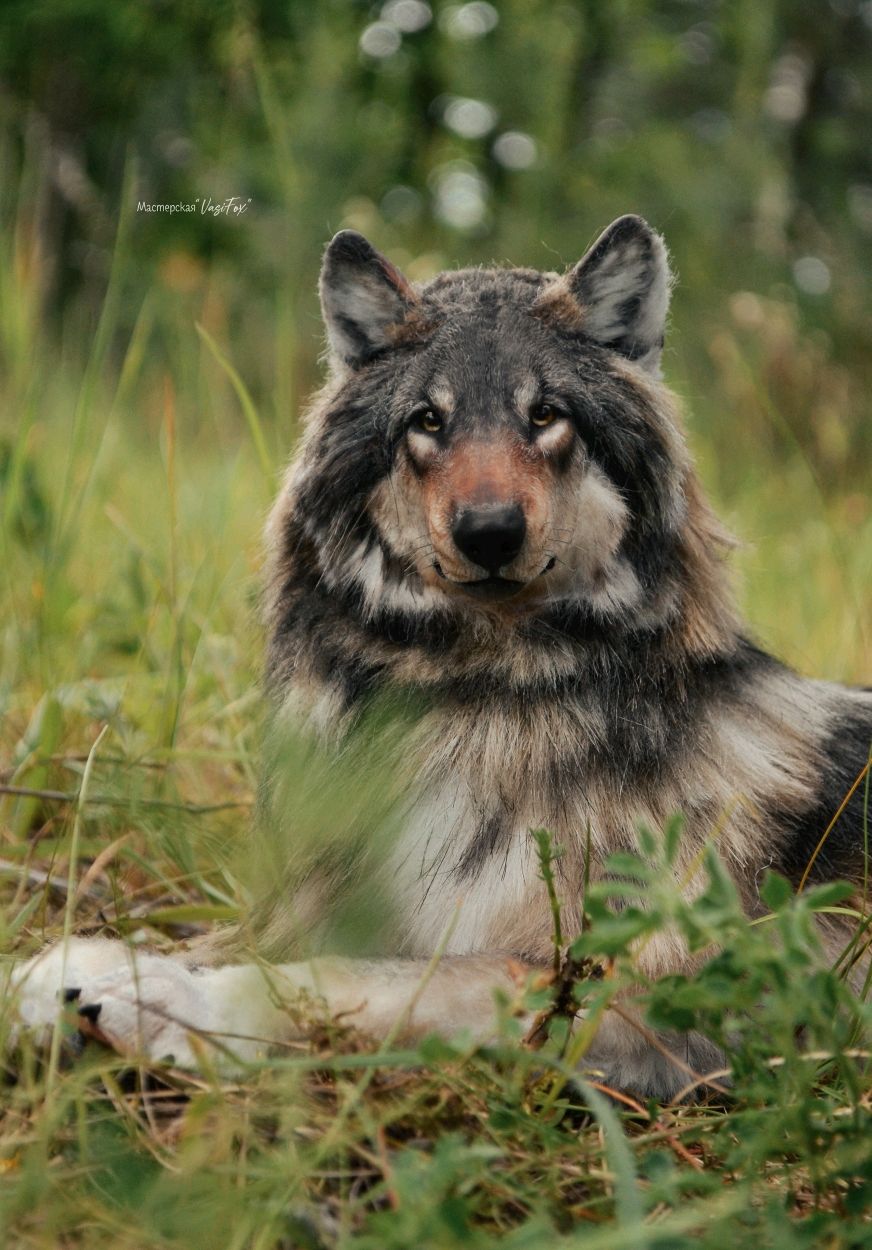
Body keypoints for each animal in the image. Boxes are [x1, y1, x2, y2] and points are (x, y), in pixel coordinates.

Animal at [8, 215, 869, 1095]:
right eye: (428, 420)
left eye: (545, 415)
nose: (489, 532)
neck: (475, 695)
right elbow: (243, 939)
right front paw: (86, 968)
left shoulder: (642, 985)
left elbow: (359, 978)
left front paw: (162, 1000)